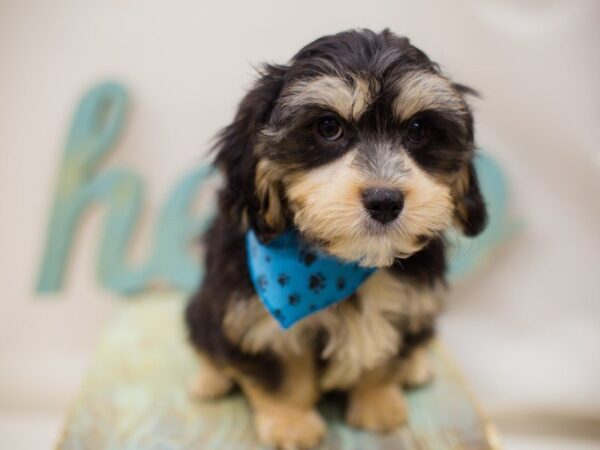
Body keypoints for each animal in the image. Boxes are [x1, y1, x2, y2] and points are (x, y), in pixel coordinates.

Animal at [185, 29, 486, 450]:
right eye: (328, 127)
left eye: (418, 130)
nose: (385, 200)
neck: (344, 262)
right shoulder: (253, 315)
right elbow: (281, 373)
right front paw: (292, 425)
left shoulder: (411, 301)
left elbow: (383, 359)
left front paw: (378, 405)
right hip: (202, 306)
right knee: (205, 337)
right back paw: (209, 378)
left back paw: (416, 365)